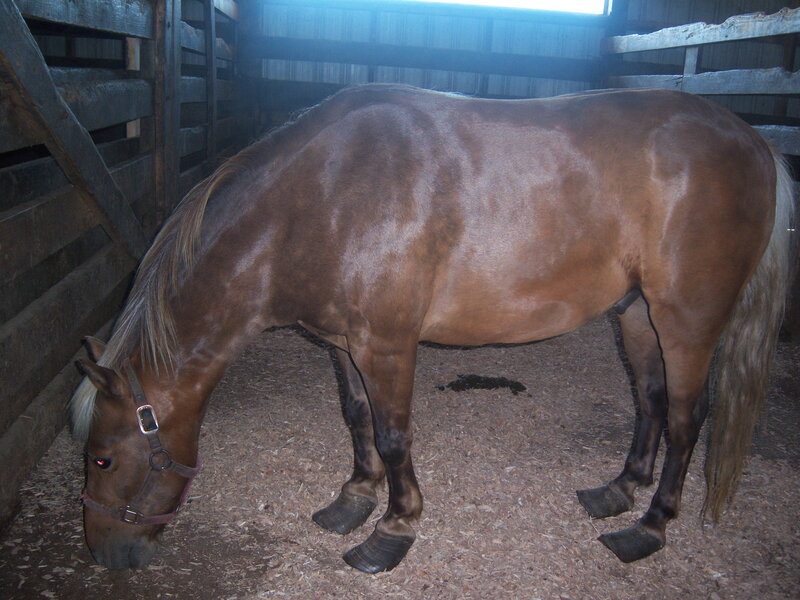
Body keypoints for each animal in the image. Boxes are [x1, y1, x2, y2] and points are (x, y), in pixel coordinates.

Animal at [70, 84, 794, 572]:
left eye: (102, 457)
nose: (105, 556)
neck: (319, 199)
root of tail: (756, 141)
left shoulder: (388, 346)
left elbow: (394, 437)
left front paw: (394, 528)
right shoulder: (343, 345)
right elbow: (356, 418)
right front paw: (353, 500)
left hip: (687, 323)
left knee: (687, 418)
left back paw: (650, 525)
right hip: (638, 316)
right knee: (649, 399)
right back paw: (617, 491)